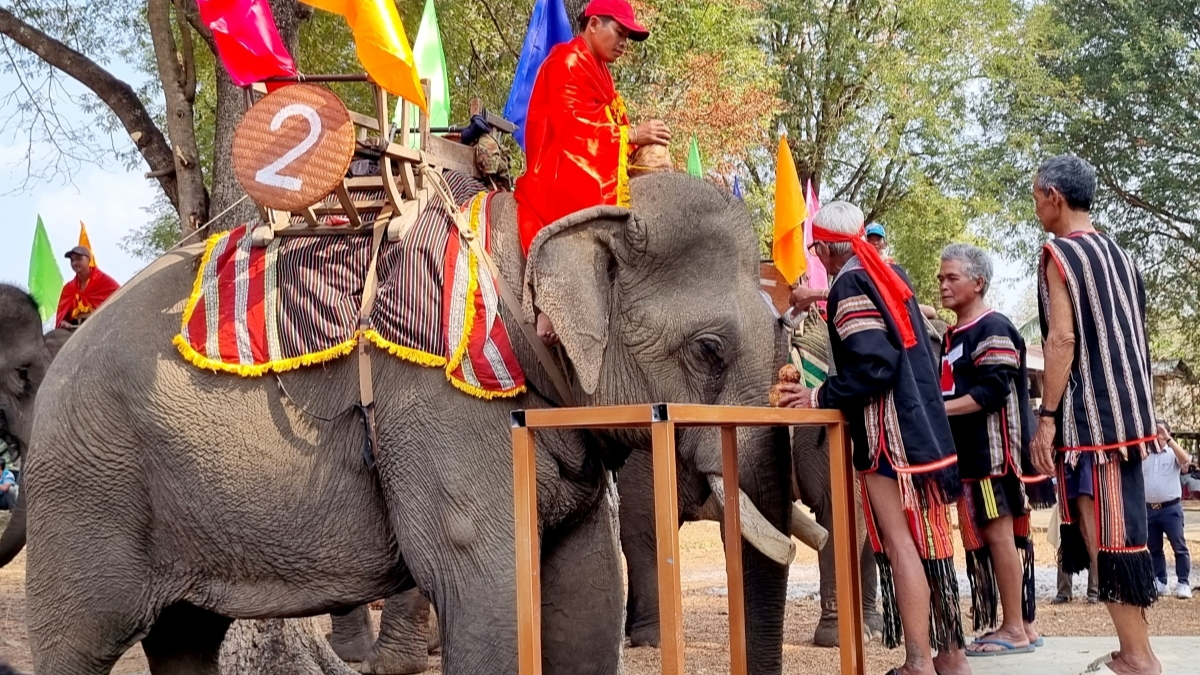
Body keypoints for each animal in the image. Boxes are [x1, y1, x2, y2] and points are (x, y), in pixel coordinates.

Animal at [3, 172, 797, 675]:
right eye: (709, 350)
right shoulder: (445, 413)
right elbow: (490, 591)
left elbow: (584, 592)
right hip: (87, 488)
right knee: (82, 641)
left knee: (186, 636)